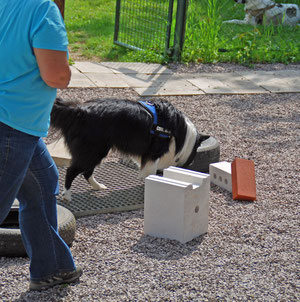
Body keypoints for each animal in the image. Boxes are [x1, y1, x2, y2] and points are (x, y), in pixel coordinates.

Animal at [49, 96, 209, 201]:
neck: (181, 134)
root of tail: (78, 111)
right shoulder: (152, 154)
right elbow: (150, 172)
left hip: (96, 151)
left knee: (86, 172)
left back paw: (98, 186)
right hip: (93, 151)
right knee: (71, 171)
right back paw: (67, 195)